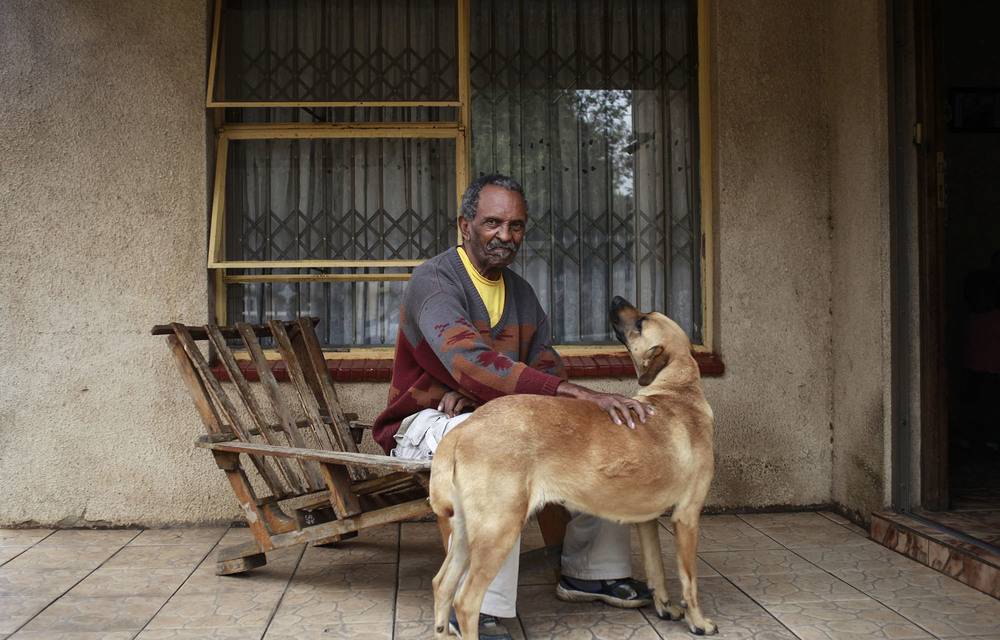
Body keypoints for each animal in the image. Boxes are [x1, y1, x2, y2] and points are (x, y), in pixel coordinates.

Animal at [430, 298, 720, 636]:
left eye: (642, 322)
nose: (616, 299)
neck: (678, 389)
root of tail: (464, 428)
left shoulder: (647, 521)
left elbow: (657, 569)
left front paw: (665, 607)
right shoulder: (687, 517)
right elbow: (690, 580)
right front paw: (698, 622)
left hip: (466, 532)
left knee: (442, 586)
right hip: (498, 530)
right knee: (466, 601)